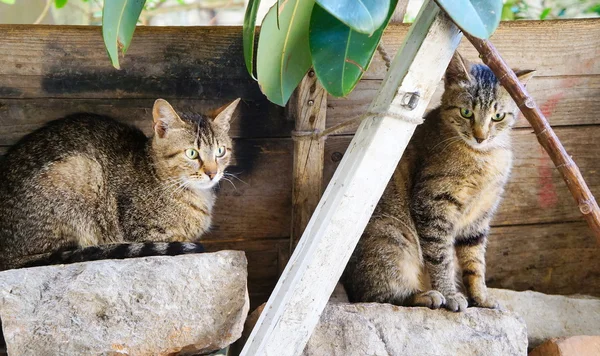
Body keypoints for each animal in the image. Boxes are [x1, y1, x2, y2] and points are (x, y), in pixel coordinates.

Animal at [342, 52, 536, 312]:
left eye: (498, 116)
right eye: (466, 113)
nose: (480, 137)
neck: (483, 156)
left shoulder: (479, 218)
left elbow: (475, 264)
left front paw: (481, 298)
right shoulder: (434, 206)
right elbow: (440, 258)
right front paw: (450, 294)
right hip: (391, 238)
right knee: (378, 295)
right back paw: (426, 295)